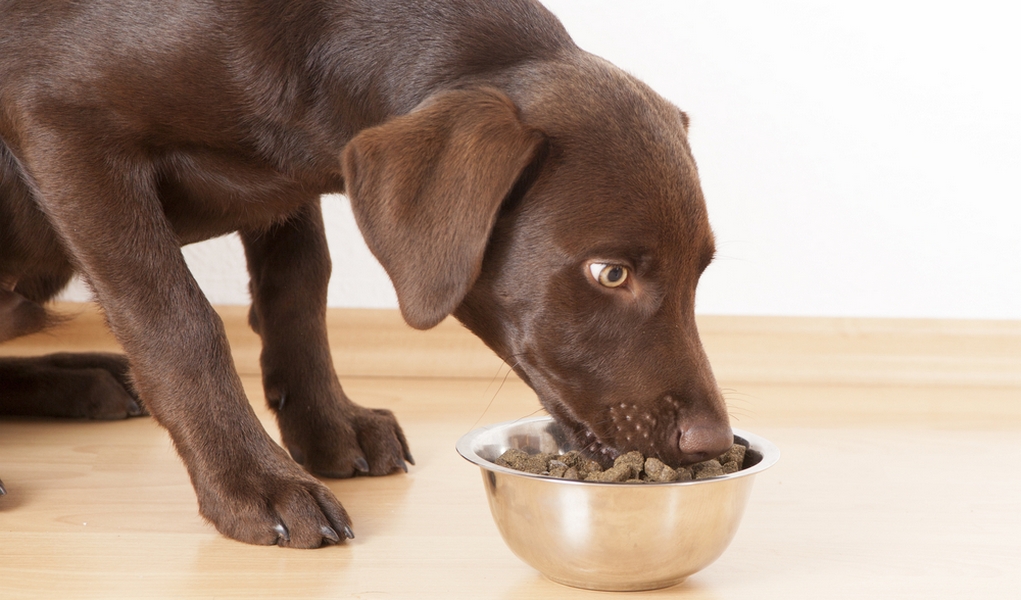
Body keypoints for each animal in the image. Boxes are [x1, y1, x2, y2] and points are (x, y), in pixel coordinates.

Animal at [0, 0, 735, 546]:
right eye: (609, 273)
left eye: (701, 272)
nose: (711, 443)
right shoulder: (63, 122)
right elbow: (178, 320)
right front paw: (252, 483)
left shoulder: (285, 176)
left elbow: (301, 287)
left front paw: (328, 425)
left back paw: (90, 379)